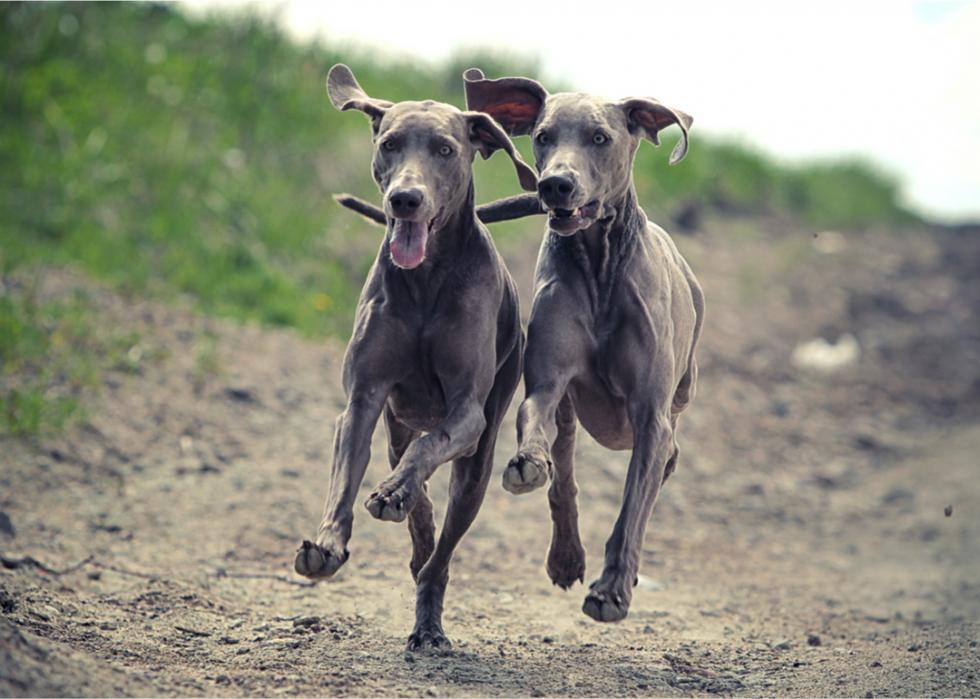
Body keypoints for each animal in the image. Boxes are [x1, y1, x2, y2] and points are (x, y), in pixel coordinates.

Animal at [292, 65, 536, 652]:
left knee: (438, 557)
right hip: (395, 426)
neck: (426, 282)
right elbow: (344, 479)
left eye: (446, 150)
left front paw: (396, 491)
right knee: (421, 521)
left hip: (478, 465)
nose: (405, 199)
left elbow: (434, 444)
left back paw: (428, 618)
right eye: (389, 144)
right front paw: (328, 545)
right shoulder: (362, 401)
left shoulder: (467, 412)